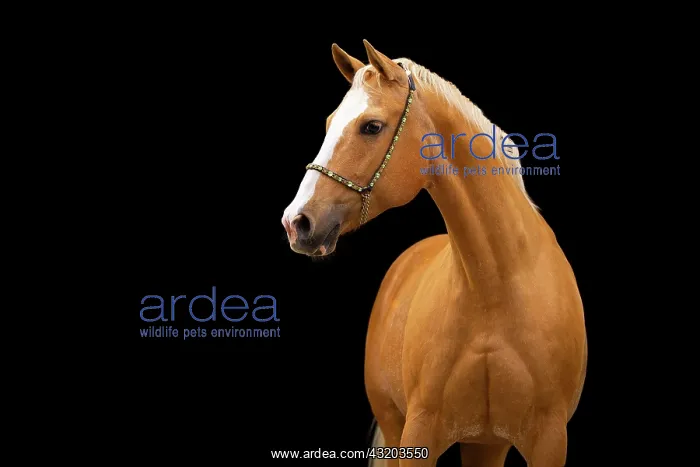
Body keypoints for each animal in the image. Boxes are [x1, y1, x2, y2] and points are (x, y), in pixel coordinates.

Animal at [281, 40, 587, 467]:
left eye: (371, 126)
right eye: (329, 124)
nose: (296, 222)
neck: (496, 287)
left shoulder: (549, 440)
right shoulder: (420, 431)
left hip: (485, 445)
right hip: (396, 427)